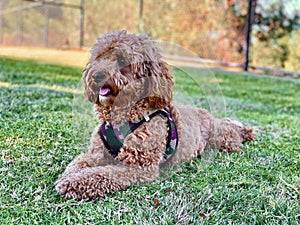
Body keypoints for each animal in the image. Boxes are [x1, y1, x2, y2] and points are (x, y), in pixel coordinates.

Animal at [54, 30, 255, 200]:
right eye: (99, 57)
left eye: (122, 59)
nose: (96, 75)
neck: (123, 117)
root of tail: (210, 116)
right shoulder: (97, 154)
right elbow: (78, 162)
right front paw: (68, 175)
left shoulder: (139, 167)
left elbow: (102, 173)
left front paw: (74, 183)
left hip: (222, 140)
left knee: (234, 135)